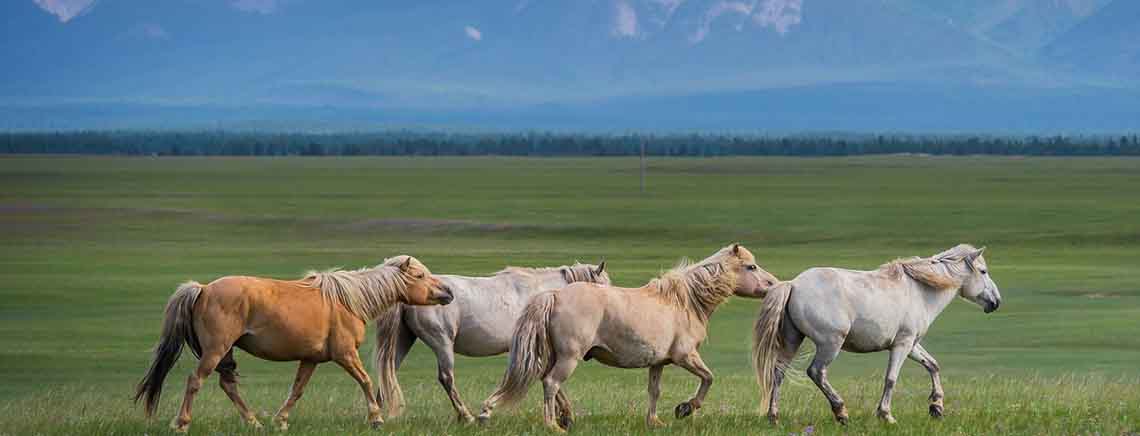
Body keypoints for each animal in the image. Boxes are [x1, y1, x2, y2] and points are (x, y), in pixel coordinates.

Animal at [134, 255, 453, 433]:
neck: (349, 300)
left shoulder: (310, 359)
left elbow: (297, 390)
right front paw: (376, 419)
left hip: (225, 353)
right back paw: (182, 423)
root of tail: (202, 289)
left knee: (228, 385)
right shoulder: (345, 354)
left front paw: (281, 420)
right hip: (215, 350)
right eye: (420, 275)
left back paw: (254, 423)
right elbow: (364, 380)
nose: (448, 292)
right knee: (195, 381)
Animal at [373, 260, 611, 420]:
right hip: (442, 342)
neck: (543, 294)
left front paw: (566, 415)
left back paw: (378, 415)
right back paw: (466, 416)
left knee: (388, 370)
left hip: (404, 340)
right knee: (446, 378)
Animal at [476, 243, 779, 431]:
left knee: (544, 381)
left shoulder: (659, 362)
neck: (685, 302)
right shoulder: (685, 356)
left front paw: (655, 421)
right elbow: (708, 378)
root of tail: (554, 295)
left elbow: (655, 391)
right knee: (551, 383)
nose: (773, 284)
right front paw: (685, 409)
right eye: (751, 267)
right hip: (568, 358)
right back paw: (552, 425)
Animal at [752, 245, 1003, 426]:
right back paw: (841, 412)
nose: (996, 302)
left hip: (793, 340)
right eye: (983, 271)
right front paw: (886, 415)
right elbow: (891, 378)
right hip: (830, 344)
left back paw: (774, 417)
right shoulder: (902, 345)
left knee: (778, 372)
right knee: (816, 372)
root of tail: (793, 284)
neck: (921, 291)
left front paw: (937, 407)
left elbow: (933, 365)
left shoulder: (911, 345)